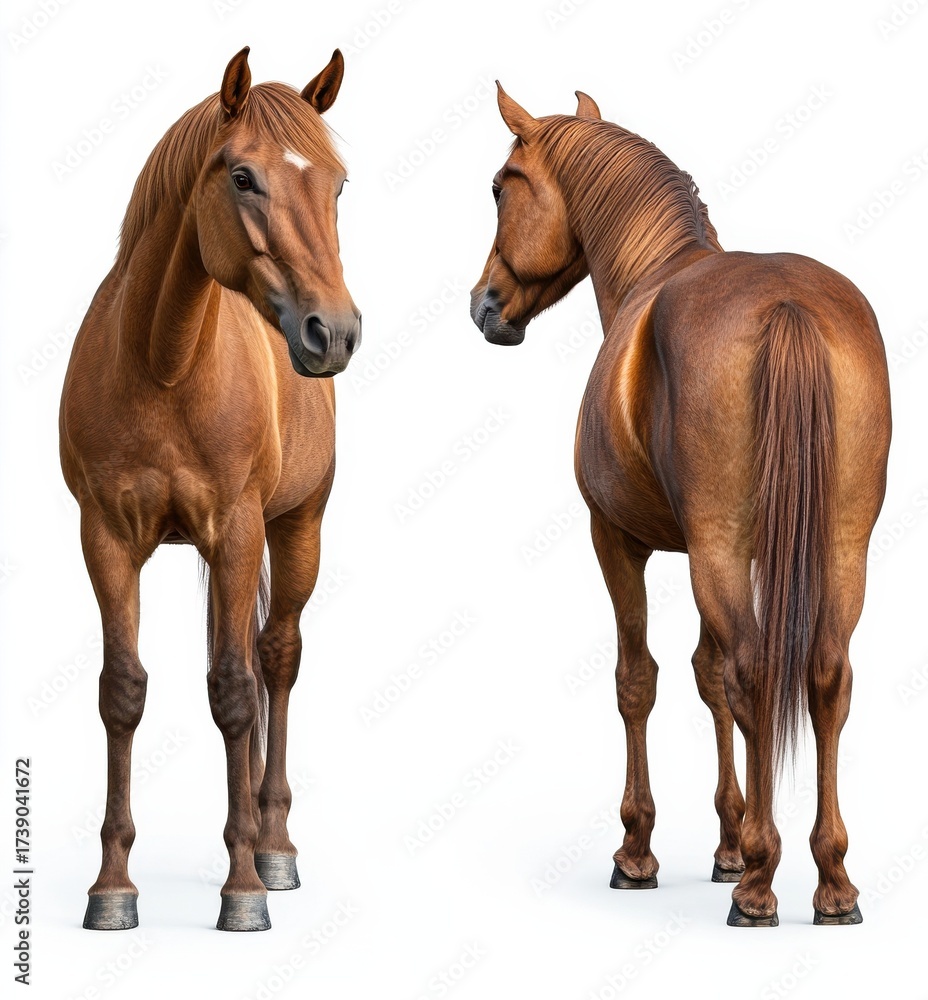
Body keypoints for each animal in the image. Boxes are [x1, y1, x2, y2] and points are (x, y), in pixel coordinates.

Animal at [59, 47, 361, 932]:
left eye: (337, 186)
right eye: (243, 176)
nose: (334, 332)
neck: (161, 362)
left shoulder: (237, 531)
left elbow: (234, 689)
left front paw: (244, 889)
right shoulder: (105, 539)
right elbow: (122, 692)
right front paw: (112, 887)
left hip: (296, 530)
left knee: (276, 661)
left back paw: (274, 845)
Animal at [470, 85, 890, 926]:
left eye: (501, 187)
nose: (484, 305)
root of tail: (788, 304)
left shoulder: (618, 539)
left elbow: (641, 679)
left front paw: (640, 850)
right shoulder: (713, 549)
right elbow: (709, 675)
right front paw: (726, 842)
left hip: (722, 549)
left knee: (759, 672)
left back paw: (761, 882)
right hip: (837, 548)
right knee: (823, 676)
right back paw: (831, 881)